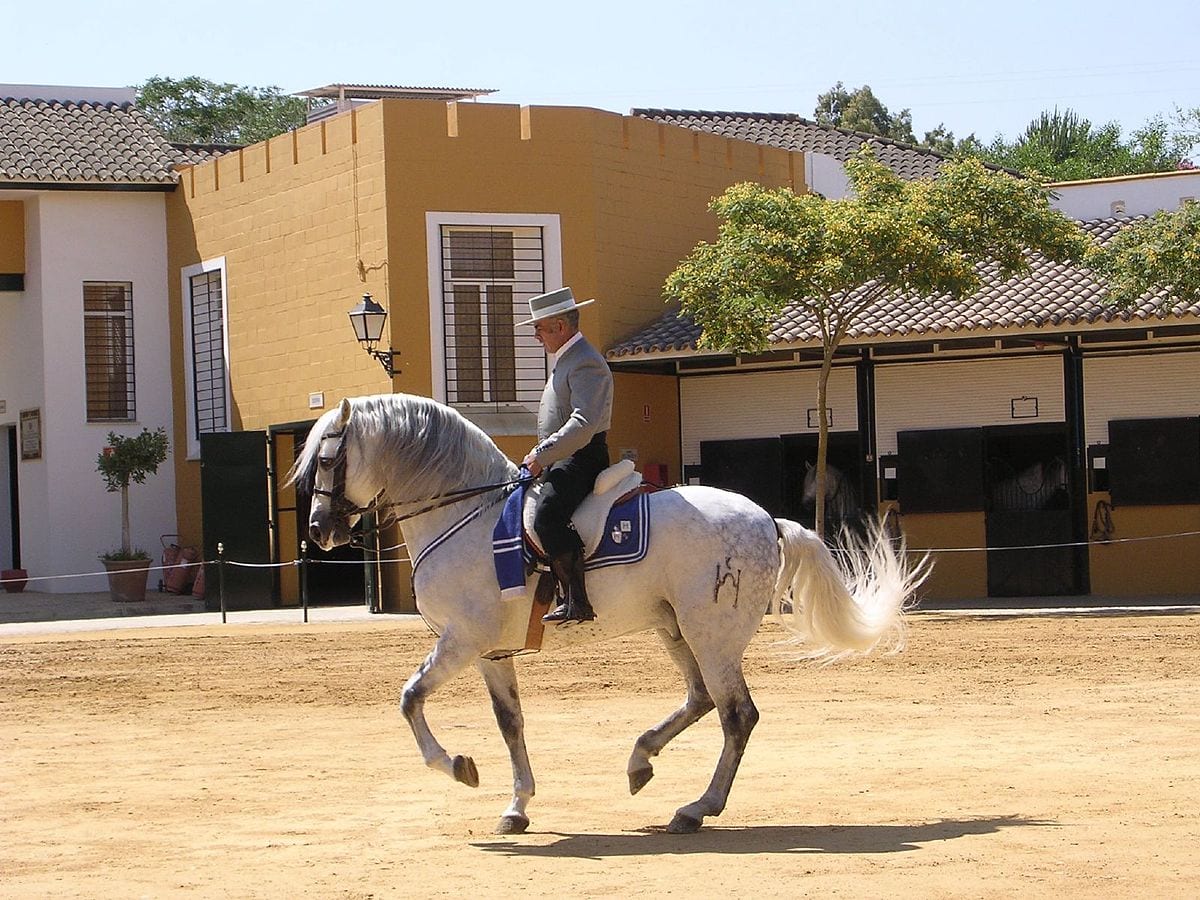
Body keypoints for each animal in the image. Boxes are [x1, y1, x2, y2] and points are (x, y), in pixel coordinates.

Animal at [290, 398, 926, 835]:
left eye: (329, 459)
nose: (319, 532)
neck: (468, 514)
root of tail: (768, 519)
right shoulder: (491, 651)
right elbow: (510, 724)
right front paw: (517, 806)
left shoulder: (461, 640)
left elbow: (409, 699)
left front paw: (457, 766)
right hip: (674, 629)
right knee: (701, 700)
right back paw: (641, 761)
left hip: (712, 634)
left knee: (736, 715)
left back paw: (697, 808)